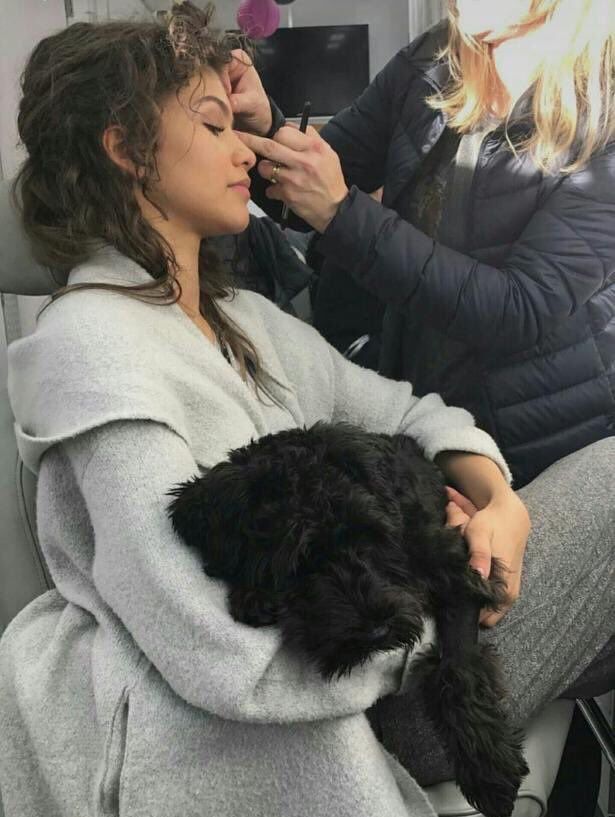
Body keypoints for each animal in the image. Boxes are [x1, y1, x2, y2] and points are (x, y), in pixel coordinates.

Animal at [168, 424, 528, 812]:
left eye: (370, 533)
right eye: (298, 561)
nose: (378, 629)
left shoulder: (457, 571)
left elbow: (458, 665)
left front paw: (490, 771)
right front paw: (254, 596)